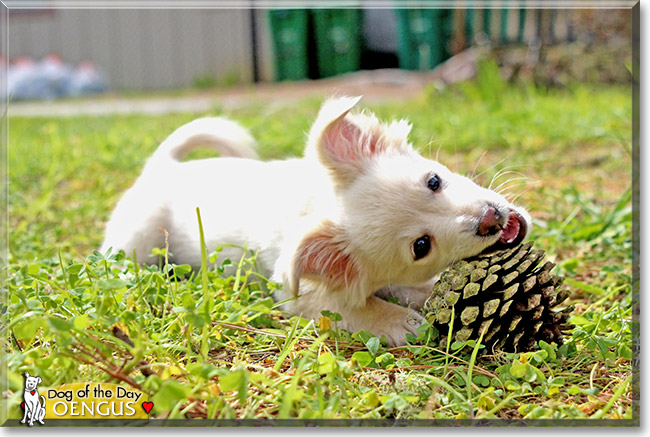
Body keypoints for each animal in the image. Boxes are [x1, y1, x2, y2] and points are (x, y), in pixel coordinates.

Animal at [101, 97, 528, 346]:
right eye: (421, 246)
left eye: (434, 181)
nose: (490, 220)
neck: (314, 202)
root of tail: (163, 166)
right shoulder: (299, 295)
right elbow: (354, 307)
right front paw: (399, 320)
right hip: (135, 239)